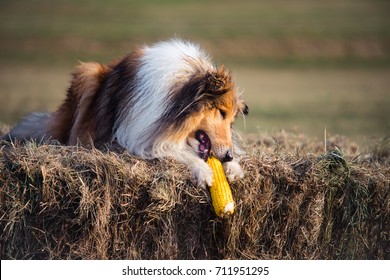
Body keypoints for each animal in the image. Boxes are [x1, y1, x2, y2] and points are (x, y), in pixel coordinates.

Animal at [4, 38, 248, 188]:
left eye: (232, 120)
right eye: (221, 112)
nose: (228, 156)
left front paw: (234, 168)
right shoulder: (140, 137)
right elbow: (175, 151)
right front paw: (204, 171)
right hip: (87, 74)